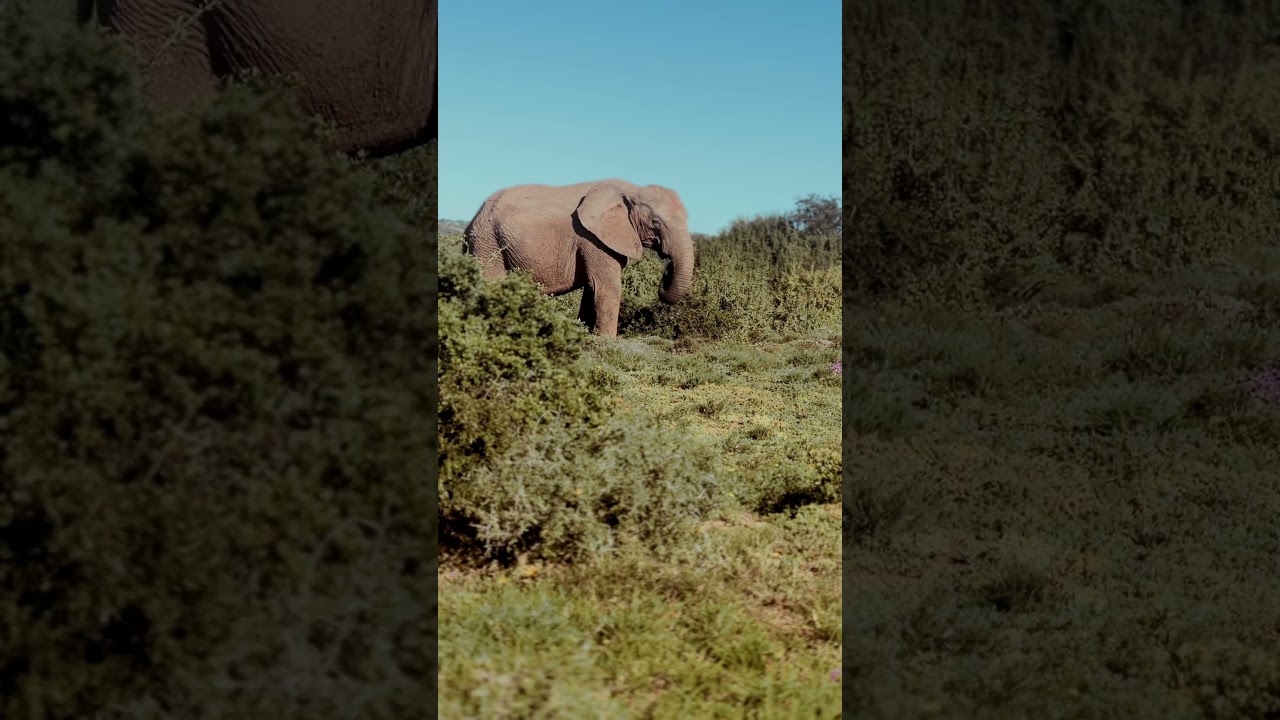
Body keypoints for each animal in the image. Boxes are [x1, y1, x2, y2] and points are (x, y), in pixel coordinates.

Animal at [464, 179, 696, 338]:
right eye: (656, 222)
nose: (667, 270)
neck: (633, 190)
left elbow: (592, 289)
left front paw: (584, 333)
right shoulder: (592, 238)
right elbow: (606, 286)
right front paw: (607, 341)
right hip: (487, 242)